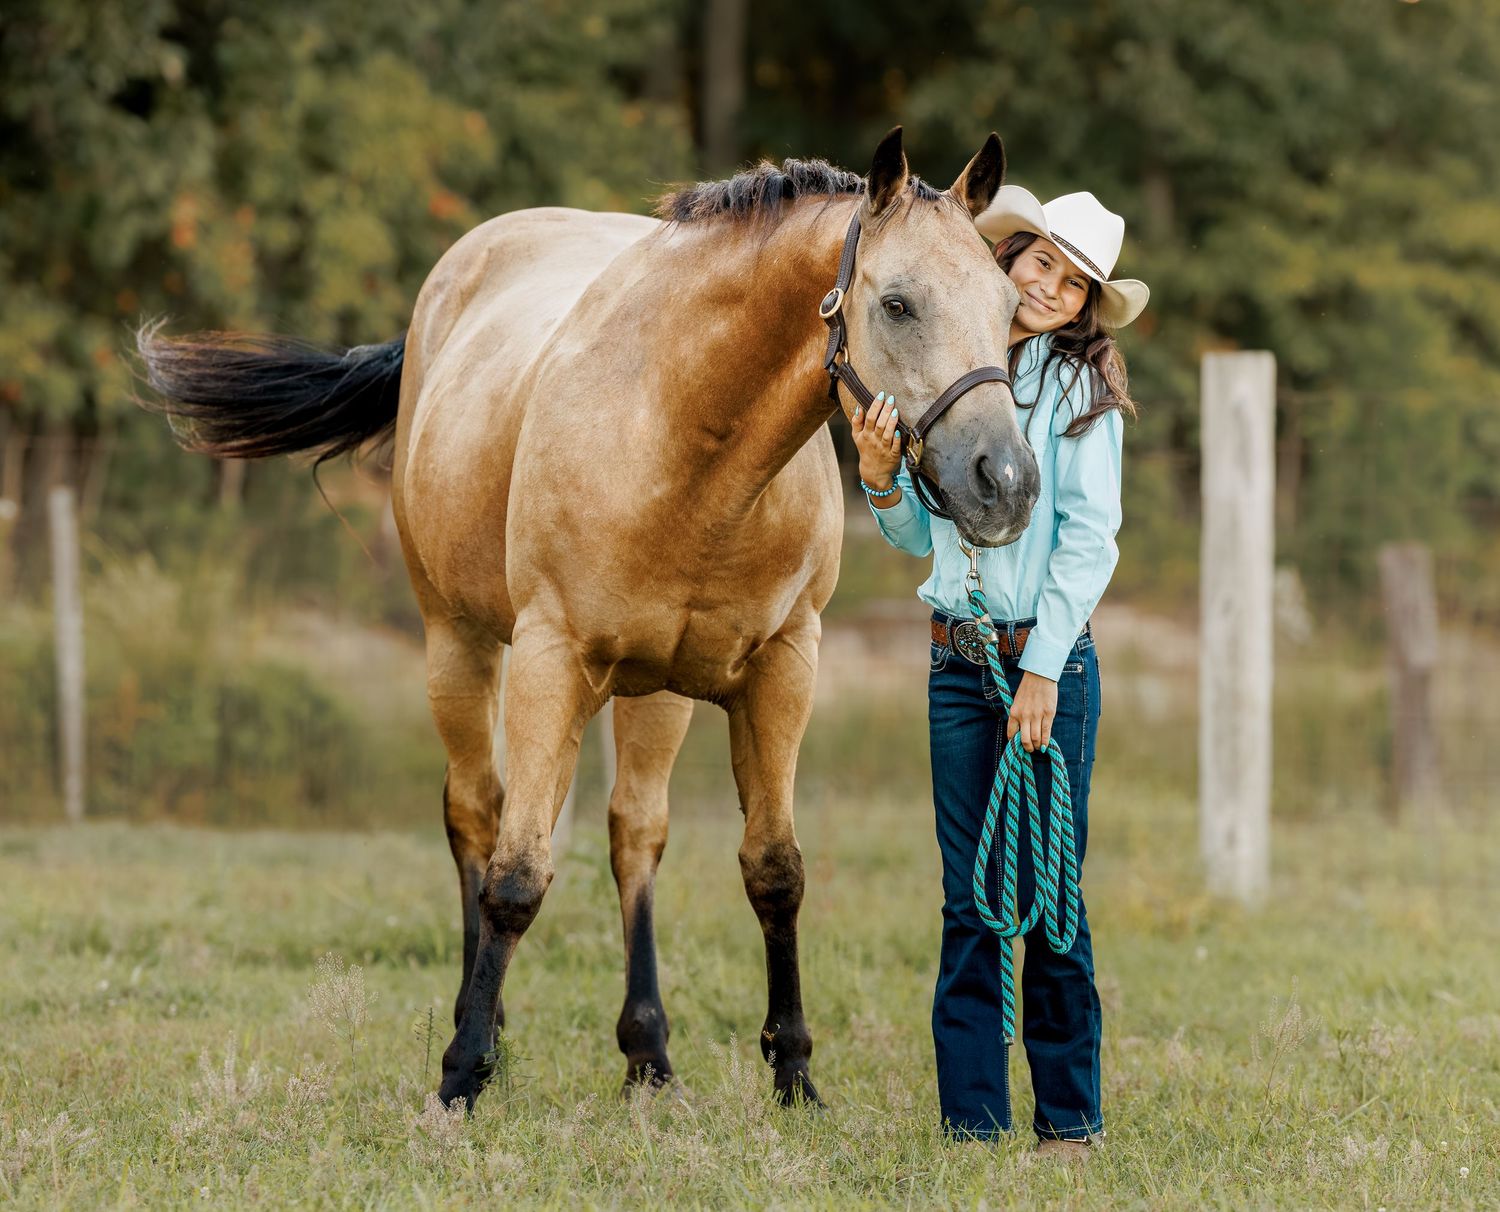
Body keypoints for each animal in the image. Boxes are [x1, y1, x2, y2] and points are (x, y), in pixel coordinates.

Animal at [137, 126, 1040, 1111]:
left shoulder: (782, 667)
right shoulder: (549, 663)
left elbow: (774, 867)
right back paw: (486, 1023)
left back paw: (647, 1054)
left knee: (633, 833)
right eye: (899, 304)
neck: (683, 433)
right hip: (456, 646)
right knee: (476, 816)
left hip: (657, 691)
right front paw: (460, 1075)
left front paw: (795, 1072)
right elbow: (516, 876)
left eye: (1008, 306)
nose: (1005, 483)